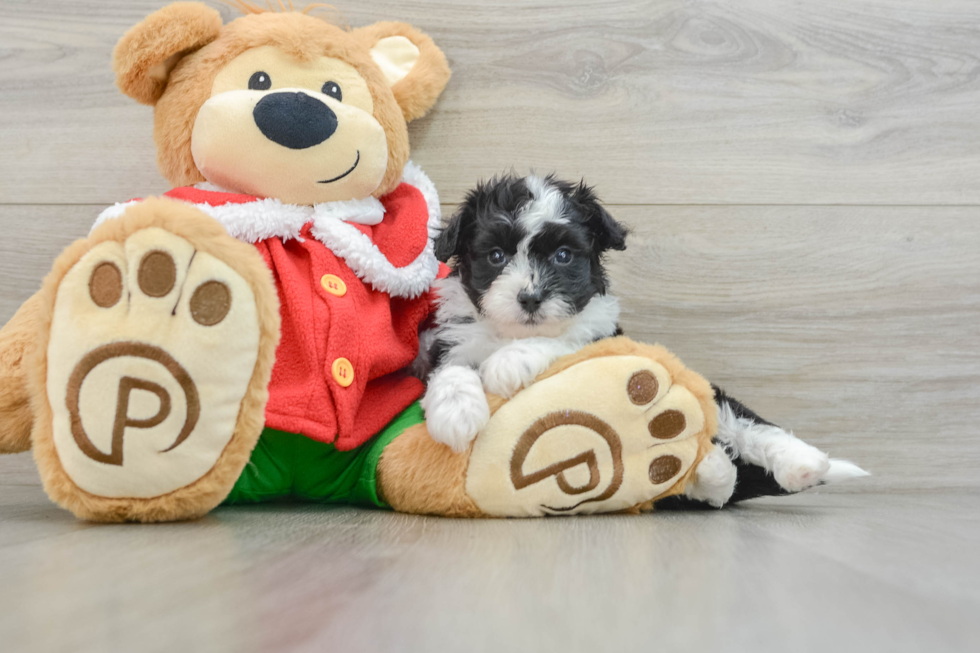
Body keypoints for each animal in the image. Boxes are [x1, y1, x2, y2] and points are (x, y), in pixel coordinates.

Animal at [422, 174, 864, 510]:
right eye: (496, 256)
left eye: (564, 255)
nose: (530, 298)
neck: (511, 332)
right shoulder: (450, 341)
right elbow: (451, 369)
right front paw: (456, 414)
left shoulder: (601, 338)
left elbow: (563, 340)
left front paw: (509, 363)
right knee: (715, 485)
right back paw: (712, 470)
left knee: (741, 423)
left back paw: (803, 464)